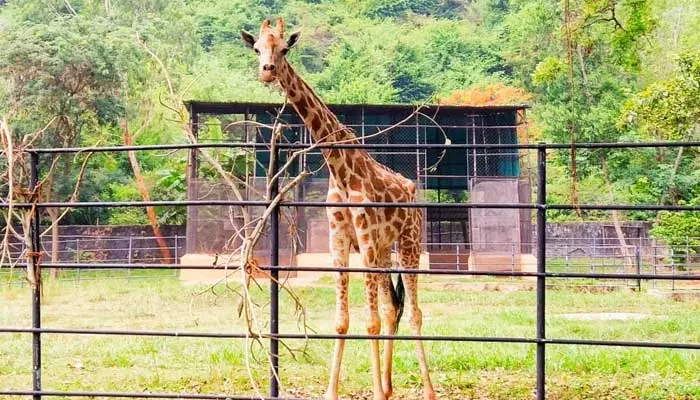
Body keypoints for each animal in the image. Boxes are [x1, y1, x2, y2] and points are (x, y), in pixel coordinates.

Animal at [243, 18, 434, 400]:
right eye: (256, 48)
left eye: (283, 48)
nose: (267, 71)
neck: (340, 169)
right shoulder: (341, 239)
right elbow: (343, 320)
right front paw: (339, 392)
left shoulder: (365, 234)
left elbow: (369, 321)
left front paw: (375, 391)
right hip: (383, 249)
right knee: (393, 308)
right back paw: (388, 388)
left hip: (408, 241)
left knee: (414, 311)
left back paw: (427, 391)